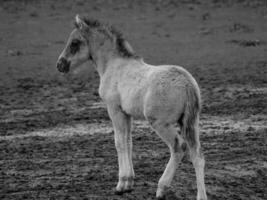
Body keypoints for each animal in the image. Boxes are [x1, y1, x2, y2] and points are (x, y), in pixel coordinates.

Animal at [56, 14, 208, 199]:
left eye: (75, 42)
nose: (60, 64)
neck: (113, 65)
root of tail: (187, 84)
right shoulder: (126, 113)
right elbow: (128, 142)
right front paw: (129, 183)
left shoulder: (114, 109)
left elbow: (119, 142)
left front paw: (122, 184)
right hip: (191, 122)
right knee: (197, 155)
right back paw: (201, 195)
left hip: (160, 123)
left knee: (179, 147)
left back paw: (161, 188)